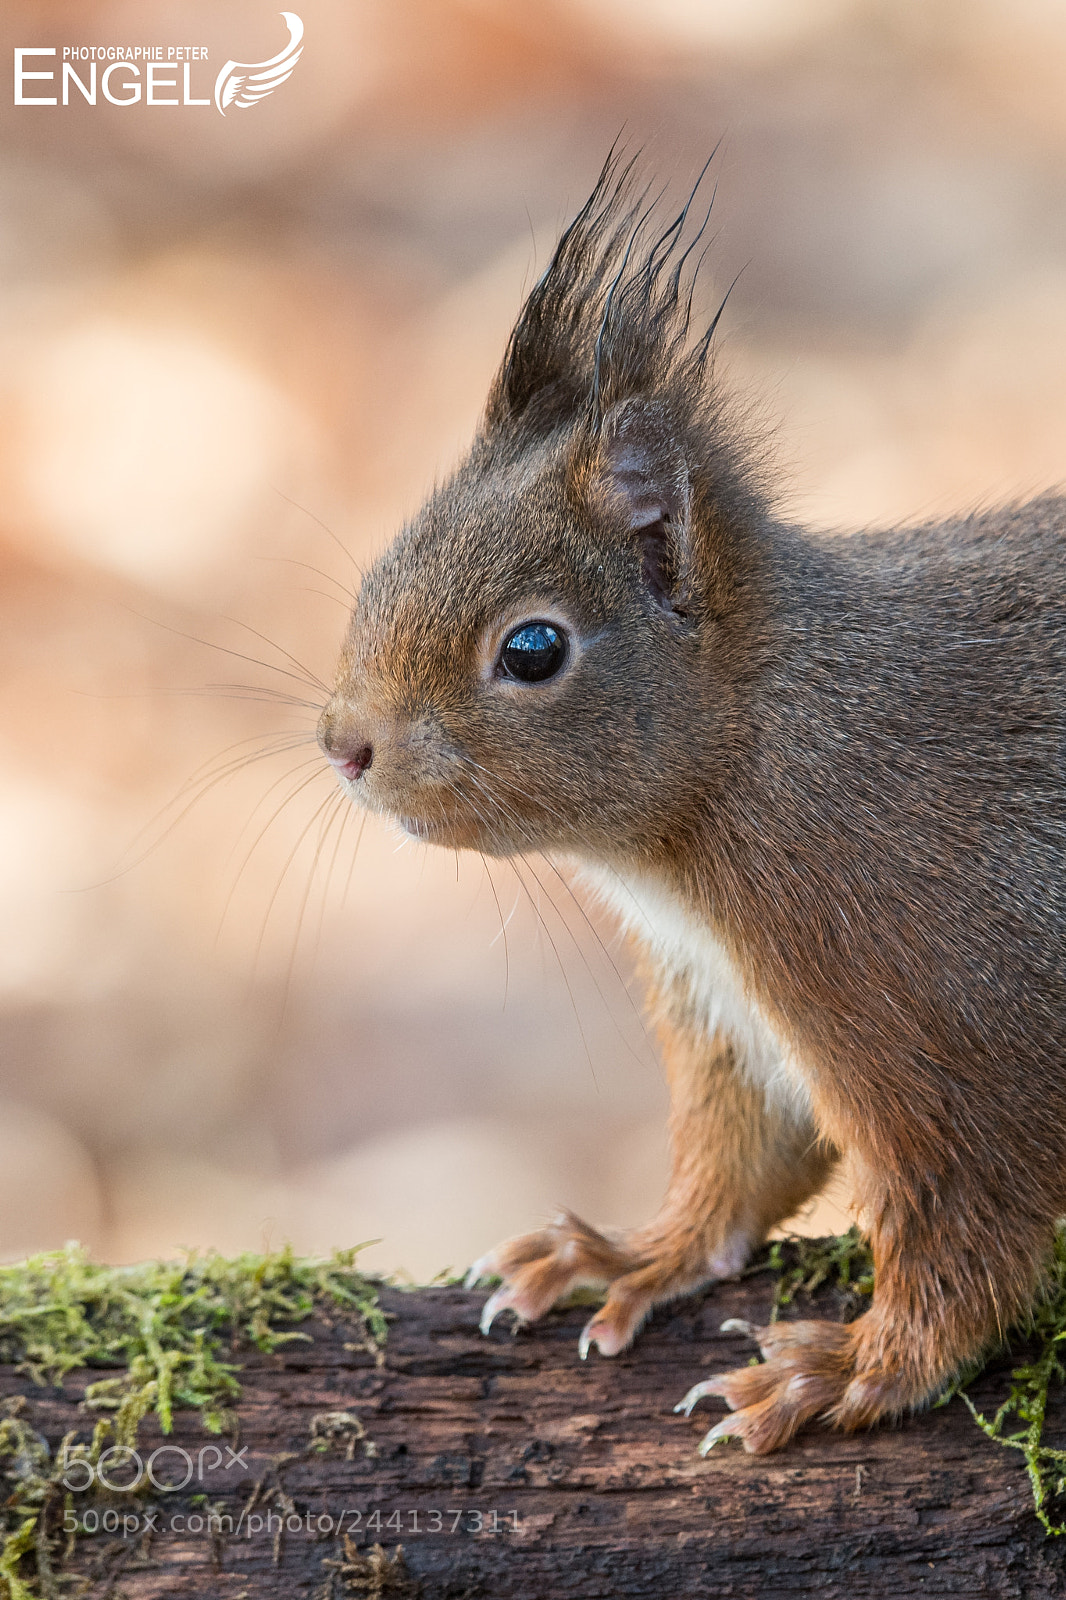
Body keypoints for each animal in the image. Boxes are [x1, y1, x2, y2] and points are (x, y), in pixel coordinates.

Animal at [316, 154, 1066, 1454]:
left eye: (531, 648)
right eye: (385, 564)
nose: (344, 743)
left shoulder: (949, 1006)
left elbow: (966, 1235)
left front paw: (845, 1371)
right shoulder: (727, 1012)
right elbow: (738, 1165)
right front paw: (630, 1254)